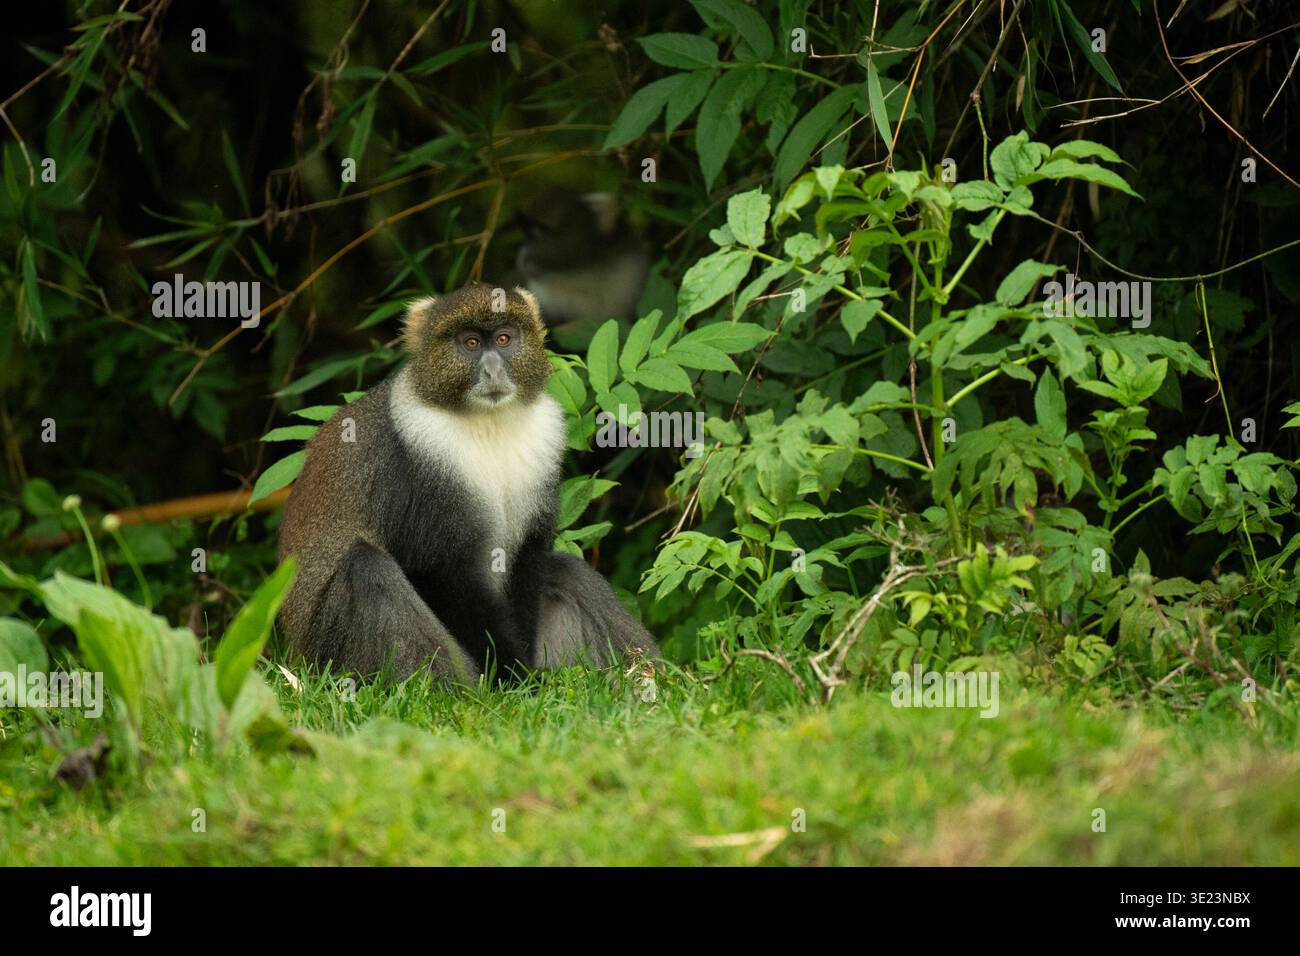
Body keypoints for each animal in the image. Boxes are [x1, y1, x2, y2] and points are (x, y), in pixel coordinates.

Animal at [276, 283, 660, 684]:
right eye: (471, 343)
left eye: (504, 339)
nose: (492, 370)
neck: (488, 423)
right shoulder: (417, 472)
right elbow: (439, 571)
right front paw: (512, 679)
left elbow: (529, 557)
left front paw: (525, 675)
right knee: (367, 569)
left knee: (566, 570)